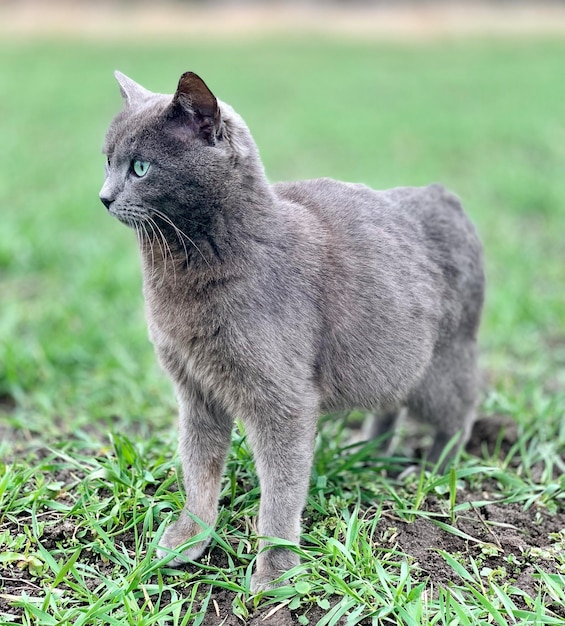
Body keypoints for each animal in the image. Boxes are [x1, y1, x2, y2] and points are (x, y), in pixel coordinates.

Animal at [99, 70, 482, 588]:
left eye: (140, 168)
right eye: (108, 161)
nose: (103, 196)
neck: (188, 264)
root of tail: (441, 193)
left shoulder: (282, 399)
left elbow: (281, 488)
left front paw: (276, 570)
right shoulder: (195, 388)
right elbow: (198, 468)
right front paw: (190, 538)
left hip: (441, 364)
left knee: (459, 411)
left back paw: (433, 472)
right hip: (388, 357)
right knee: (391, 403)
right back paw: (372, 452)